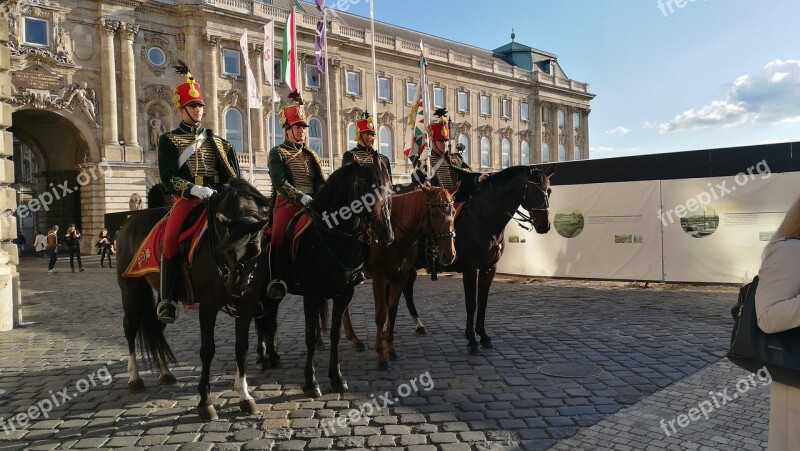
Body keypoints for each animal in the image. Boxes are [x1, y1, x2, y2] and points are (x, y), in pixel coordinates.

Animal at [115, 178, 270, 422]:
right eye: (226, 249)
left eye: (255, 249)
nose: (236, 290)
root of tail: (130, 220)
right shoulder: (208, 305)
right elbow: (207, 350)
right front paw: (205, 402)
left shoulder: (248, 305)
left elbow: (242, 348)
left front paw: (244, 395)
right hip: (130, 289)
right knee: (130, 327)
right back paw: (135, 378)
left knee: (156, 326)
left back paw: (165, 373)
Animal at [255, 156, 396, 400]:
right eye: (365, 187)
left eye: (388, 189)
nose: (385, 234)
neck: (335, 235)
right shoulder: (312, 294)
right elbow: (311, 334)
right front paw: (311, 382)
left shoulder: (345, 293)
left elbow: (335, 333)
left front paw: (337, 378)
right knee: (258, 318)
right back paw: (262, 358)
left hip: (273, 291)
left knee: (269, 316)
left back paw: (273, 355)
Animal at [338, 185, 460, 370]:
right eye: (433, 213)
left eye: (453, 211)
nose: (449, 255)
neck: (395, 235)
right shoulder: (379, 278)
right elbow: (381, 314)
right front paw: (381, 355)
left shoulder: (401, 276)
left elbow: (393, 310)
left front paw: (390, 348)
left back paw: (353, 338)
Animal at [404, 164, 552, 354]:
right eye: (534, 191)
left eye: (549, 191)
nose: (544, 226)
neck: (484, 219)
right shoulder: (470, 269)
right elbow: (471, 303)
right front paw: (472, 339)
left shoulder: (489, 268)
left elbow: (482, 302)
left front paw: (483, 335)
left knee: (407, 289)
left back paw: (418, 324)